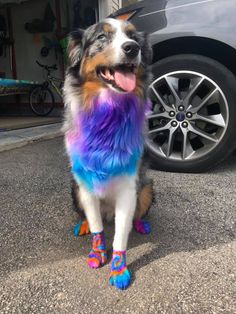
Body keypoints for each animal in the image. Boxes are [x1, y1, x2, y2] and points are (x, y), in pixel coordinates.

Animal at [63, 17, 153, 290]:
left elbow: (121, 235)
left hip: (147, 187)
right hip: (74, 188)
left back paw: (140, 224)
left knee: (136, 212)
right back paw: (82, 225)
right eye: (101, 37)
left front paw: (119, 268)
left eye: (133, 37)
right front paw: (97, 253)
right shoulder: (85, 183)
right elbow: (96, 226)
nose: (132, 48)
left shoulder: (127, 188)